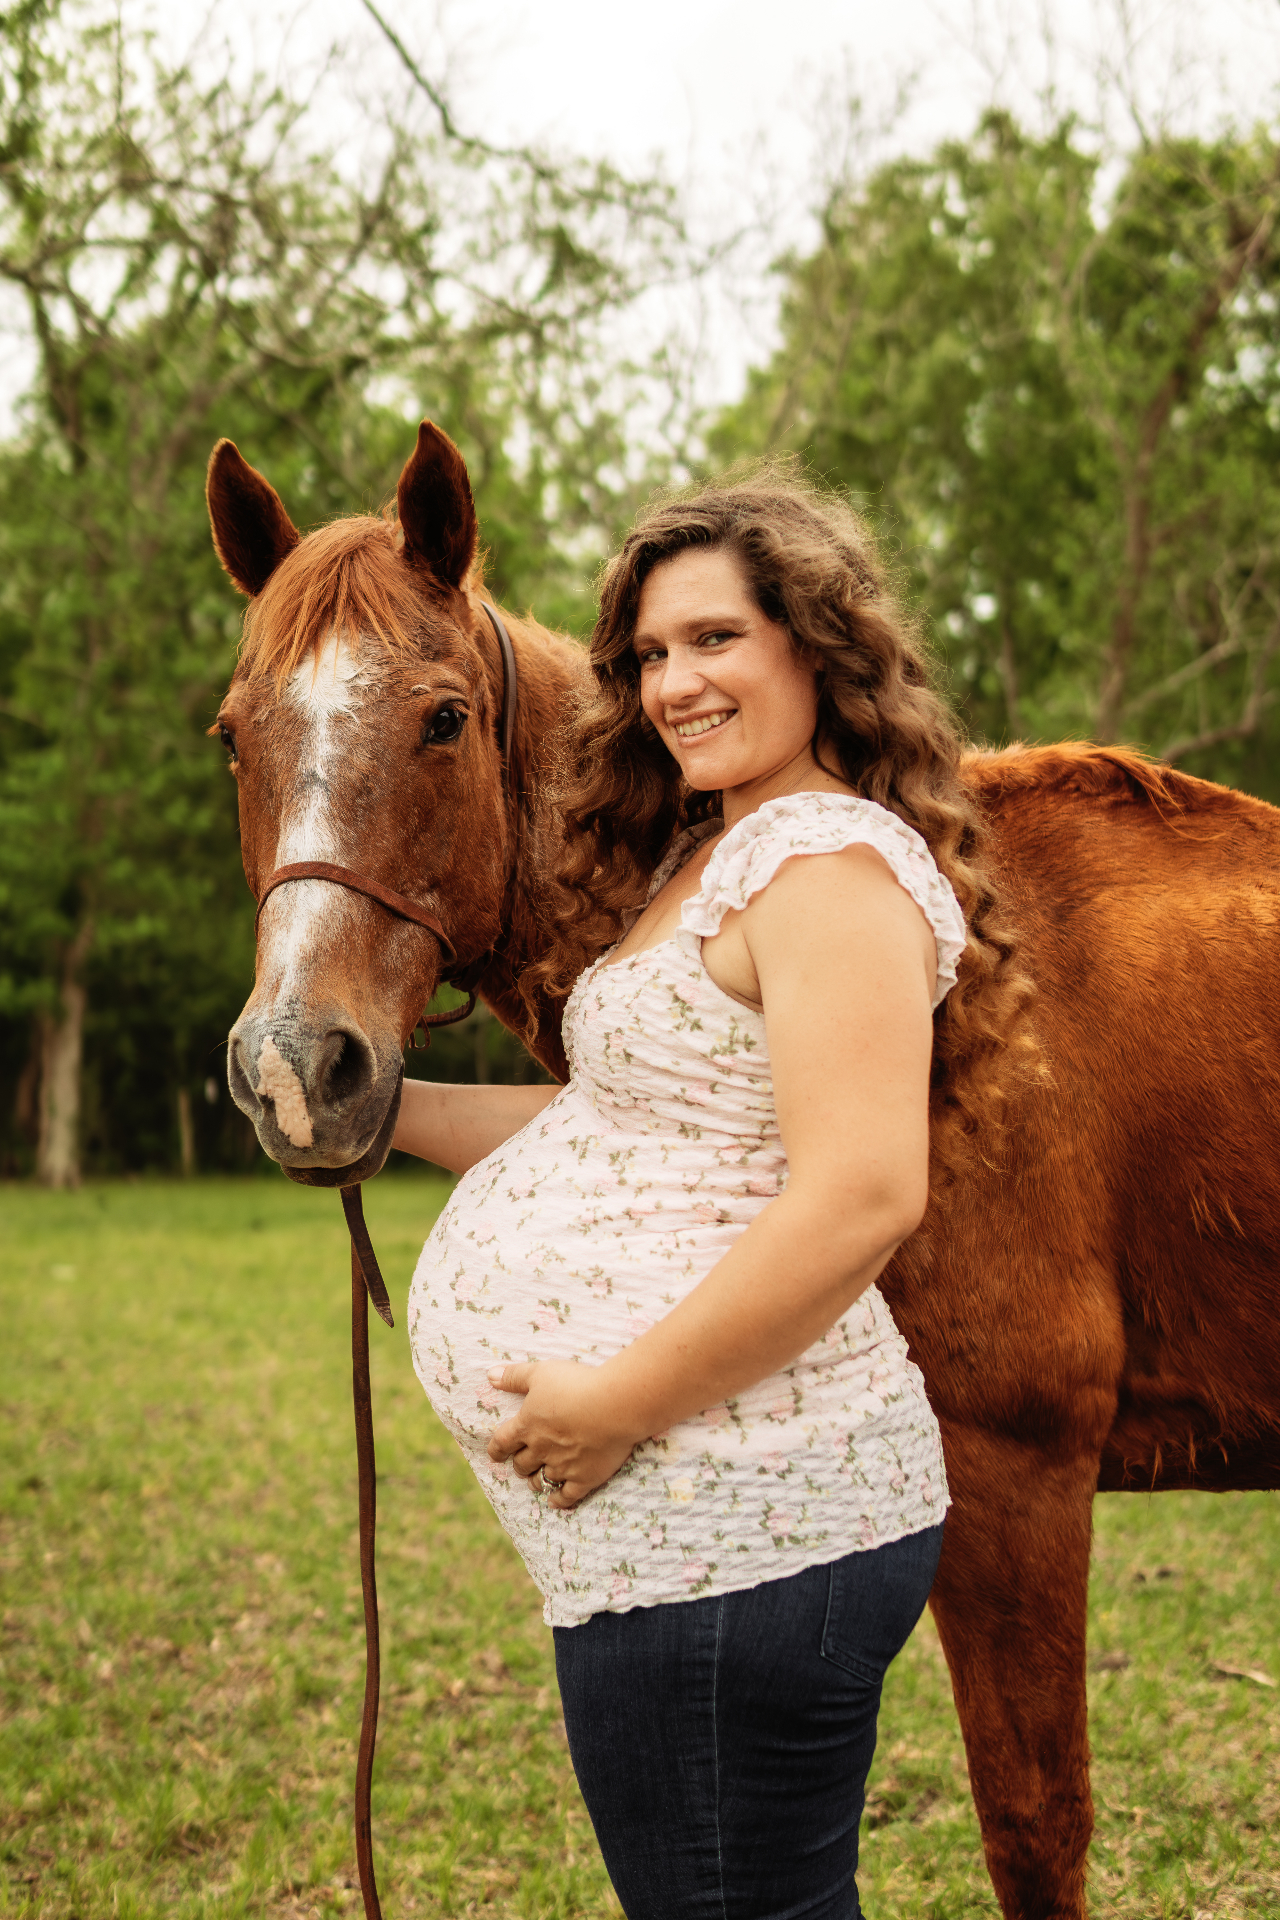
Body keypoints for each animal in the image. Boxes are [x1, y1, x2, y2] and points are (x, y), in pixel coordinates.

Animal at [208, 418, 1280, 1920]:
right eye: (232, 736)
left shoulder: (1017, 1478)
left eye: (443, 719)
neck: (985, 1011)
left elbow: (1035, 1827)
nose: (300, 1072)